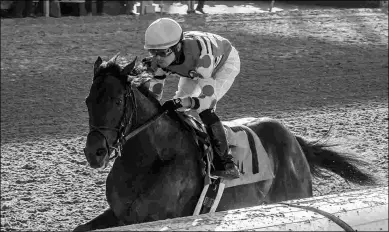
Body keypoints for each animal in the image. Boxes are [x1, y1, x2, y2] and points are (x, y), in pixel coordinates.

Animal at [73, 54, 376, 230]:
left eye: (117, 101)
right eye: (87, 101)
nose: (94, 152)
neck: (152, 159)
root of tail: (293, 139)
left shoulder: (158, 218)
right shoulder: (120, 215)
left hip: (293, 194)